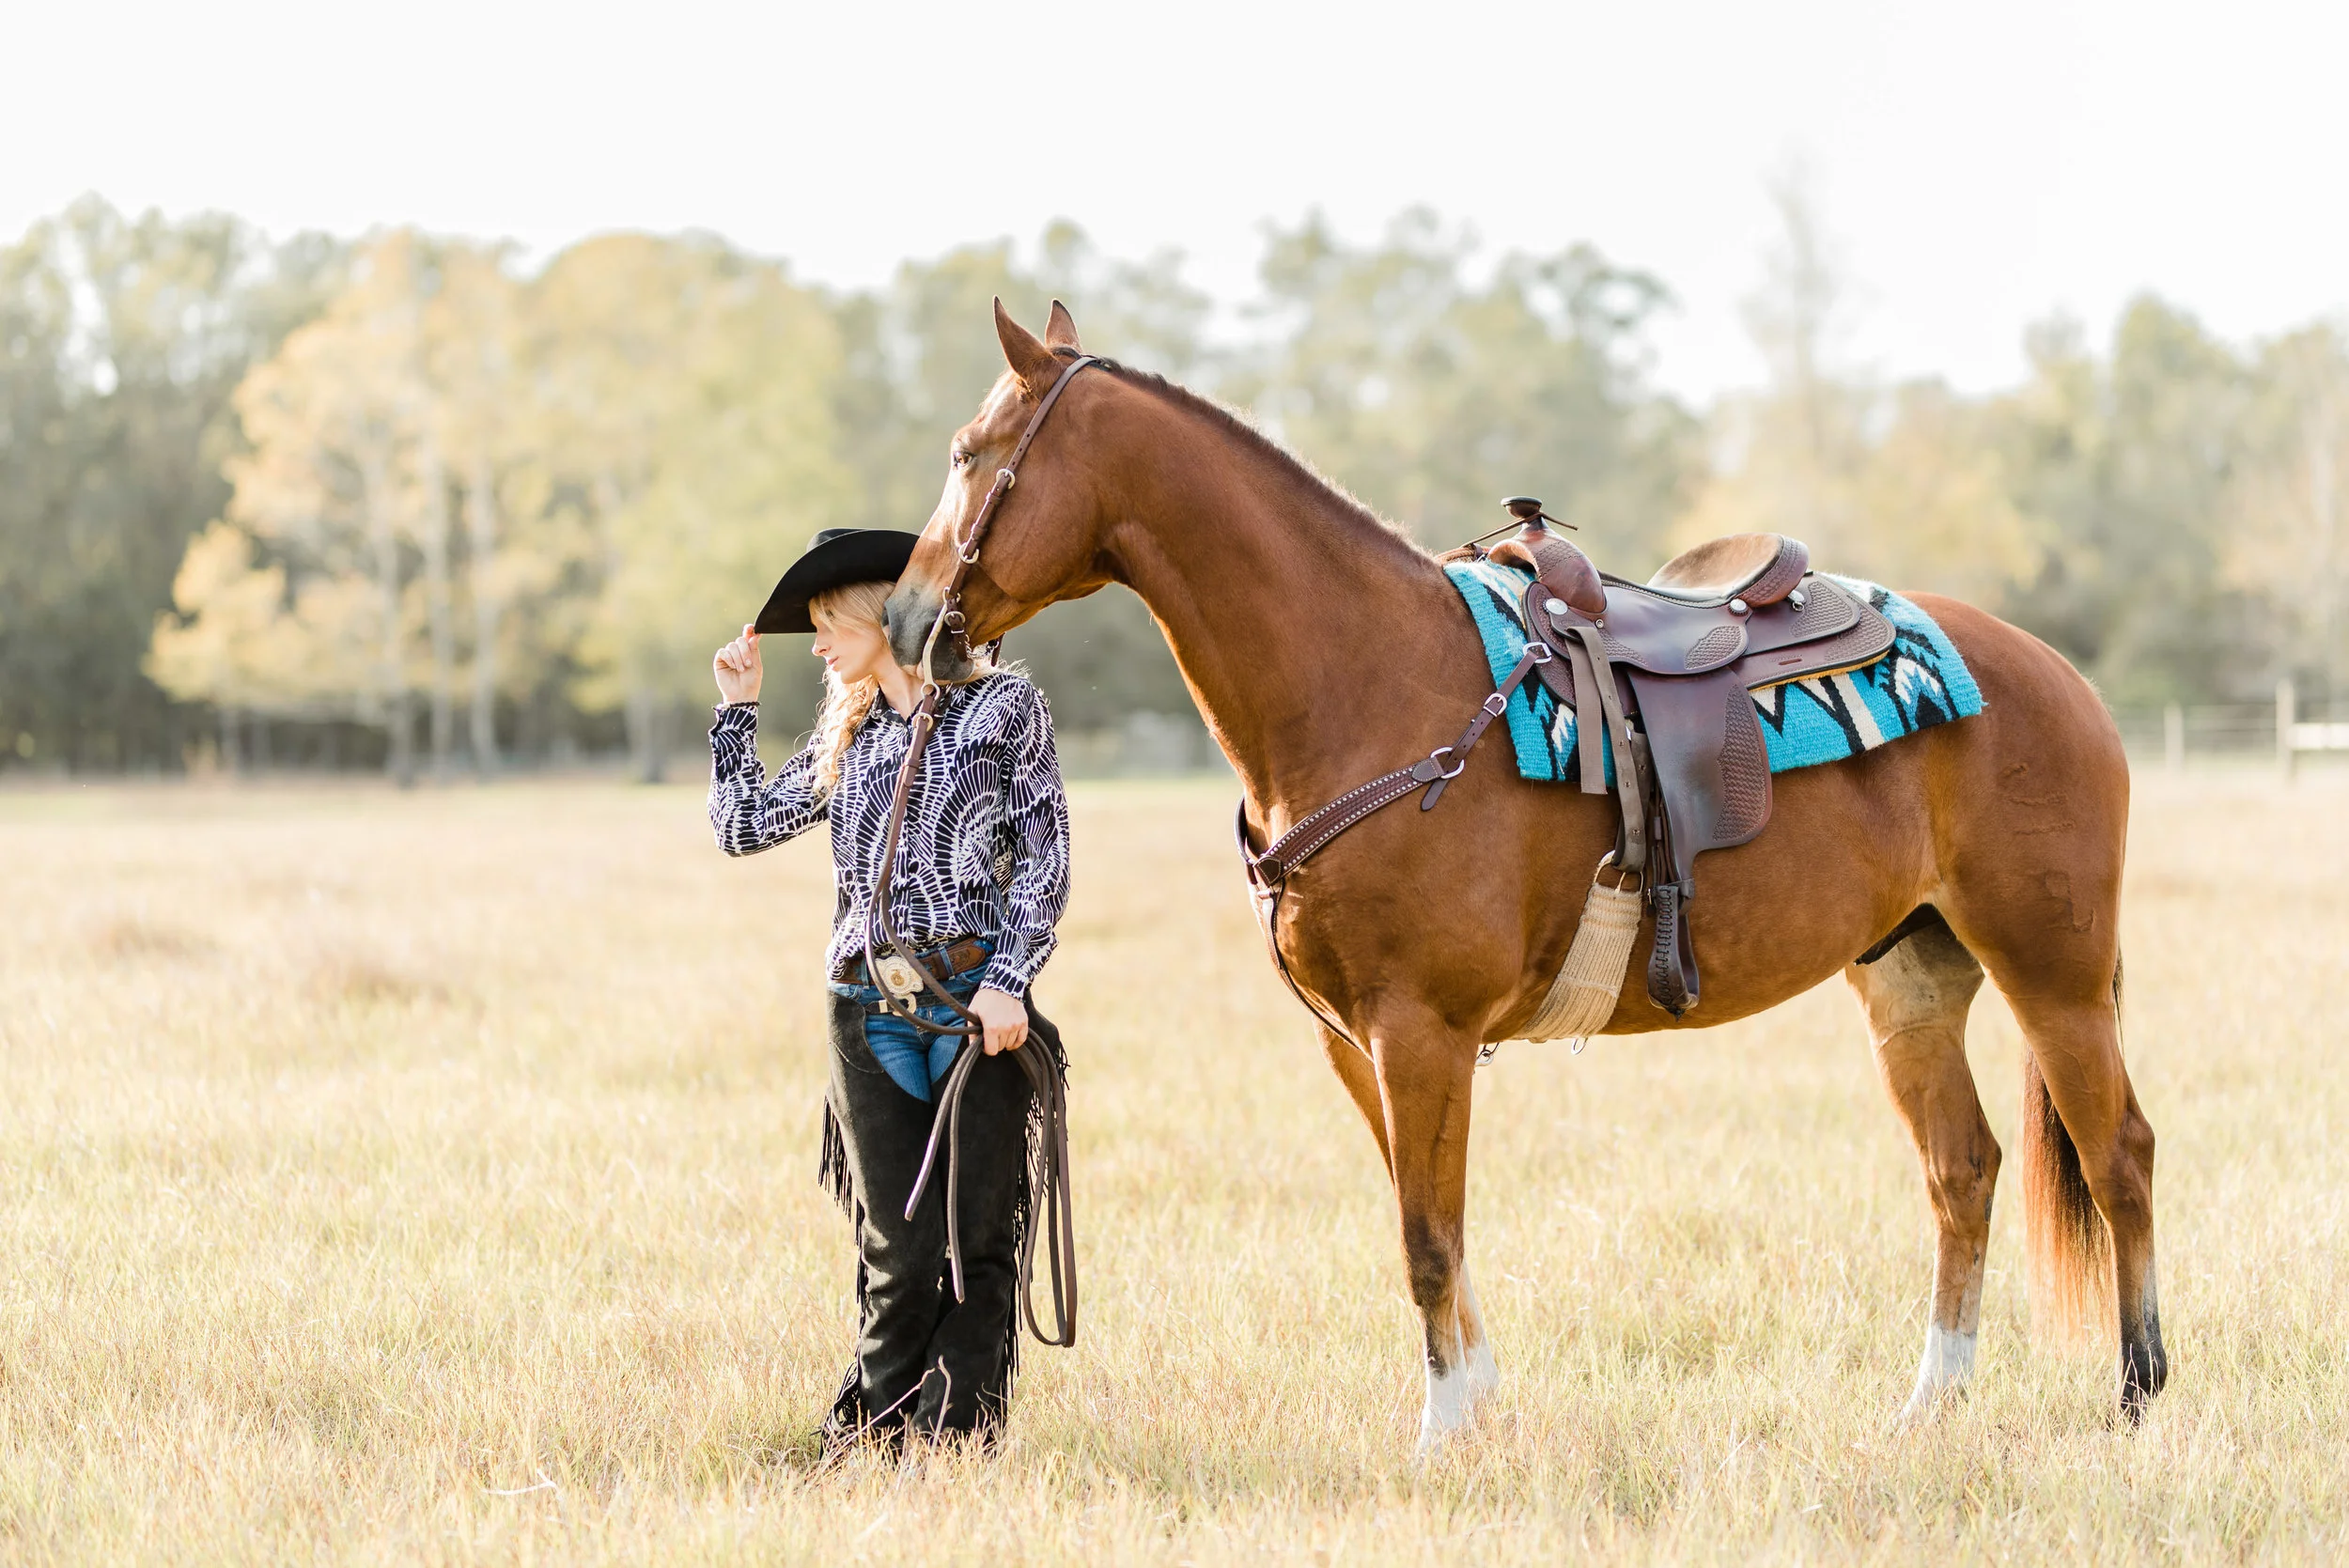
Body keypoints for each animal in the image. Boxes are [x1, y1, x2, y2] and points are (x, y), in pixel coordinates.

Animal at [884, 301, 2161, 1449]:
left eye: (969, 453)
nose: (904, 619)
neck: (1371, 685)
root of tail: (2054, 675)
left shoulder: (1422, 1032)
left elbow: (1427, 1239)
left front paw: (1443, 1434)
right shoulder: (1354, 1043)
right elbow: (1431, 1226)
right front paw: (1483, 1406)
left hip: (2051, 974)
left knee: (2119, 1158)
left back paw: (2139, 1395)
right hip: (1909, 981)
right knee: (1963, 1168)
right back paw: (1931, 1405)